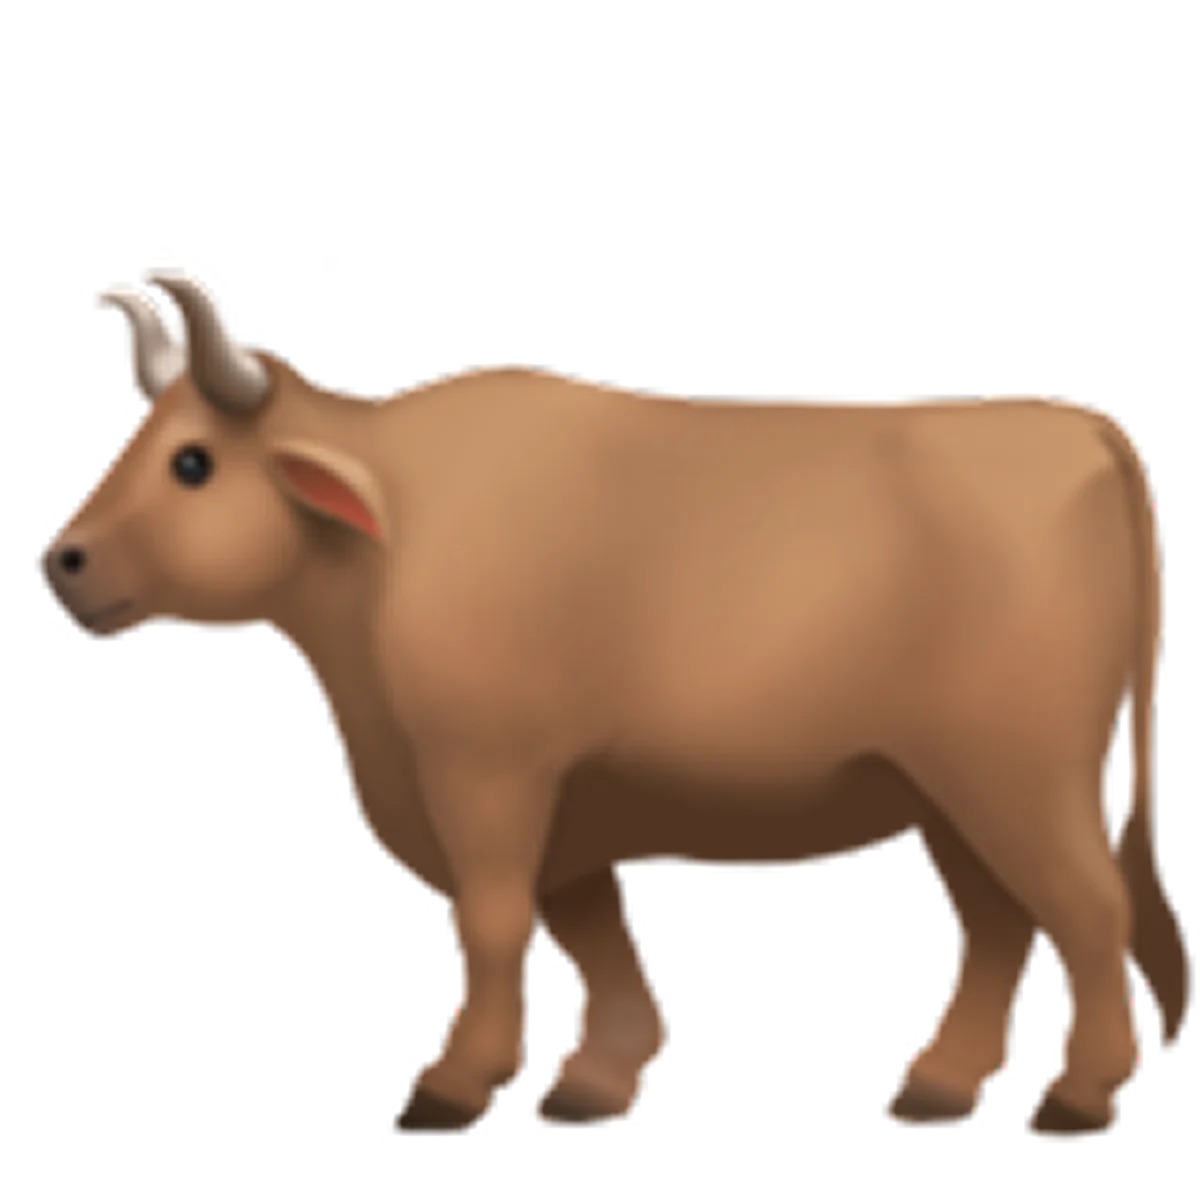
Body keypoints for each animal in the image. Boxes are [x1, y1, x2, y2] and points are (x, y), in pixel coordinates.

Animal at [38, 270, 1187, 1141]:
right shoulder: (567, 801)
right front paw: (593, 1083)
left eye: (194, 462)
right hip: (941, 790)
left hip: (1022, 773)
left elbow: (497, 923)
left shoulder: (488, 774)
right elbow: (590, 932)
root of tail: (1080, 428)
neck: (392, 532)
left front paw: (451, 1085)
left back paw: (1078, 1099)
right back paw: (938, 1088)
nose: (63, 562)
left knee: (1090, 910)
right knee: (1000, 923)